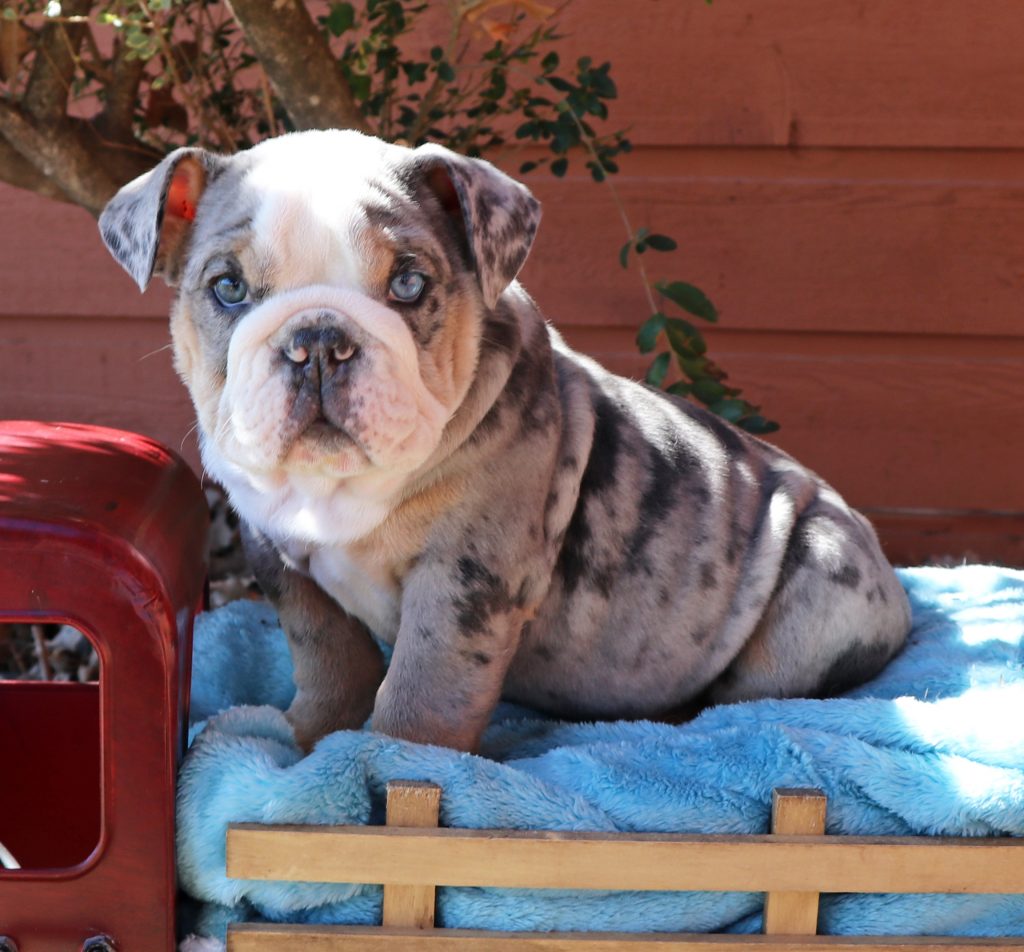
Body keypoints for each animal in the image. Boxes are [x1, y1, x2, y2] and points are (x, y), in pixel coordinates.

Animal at [97, 127, 913, 749]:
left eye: (409, 285)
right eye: (227, 288)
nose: (319, 340)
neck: (334, 490)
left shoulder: (465, 577)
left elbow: (422, 691)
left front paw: (380, 773)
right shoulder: (283, 561)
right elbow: (329, 656)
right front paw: (306, 736)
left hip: (816, 588)